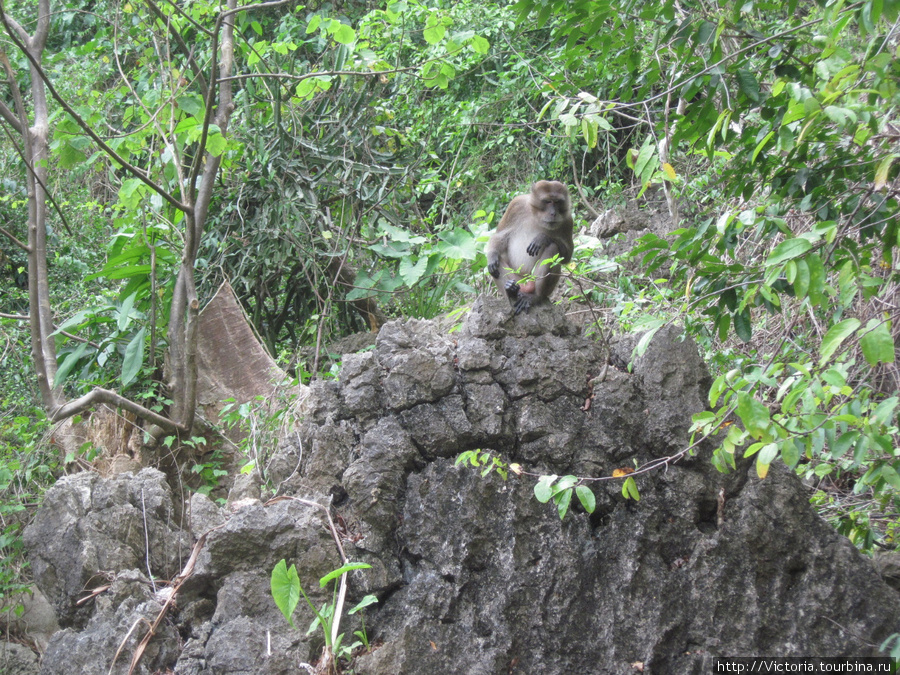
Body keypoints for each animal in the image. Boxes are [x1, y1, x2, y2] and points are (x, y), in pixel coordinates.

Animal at [486, 181, 576, 316]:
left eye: (558, 202)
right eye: (547, 201)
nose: (553, 213)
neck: (537, 216)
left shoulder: (568, 221)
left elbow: (567, 255)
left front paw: (542, 238)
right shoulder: (515, 205)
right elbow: (500, 237)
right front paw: (492, 256)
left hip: (534, 281)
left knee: (553, 248)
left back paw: (535, 297)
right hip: (517, 278)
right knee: (498, 263)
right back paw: (511, 292)